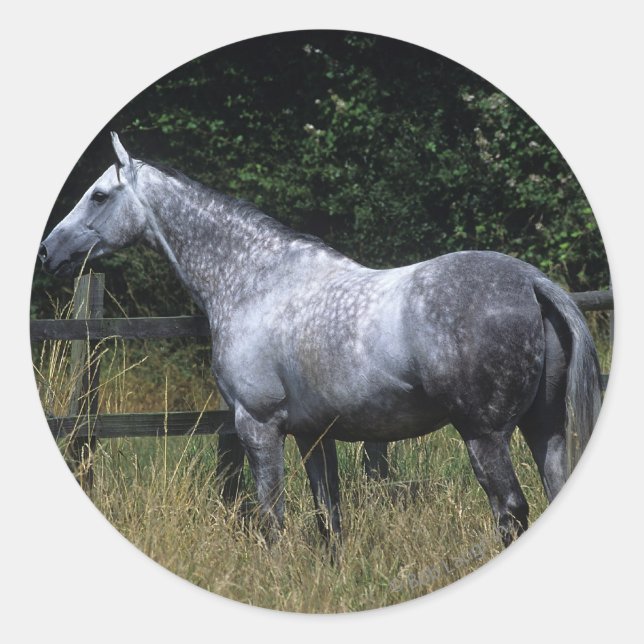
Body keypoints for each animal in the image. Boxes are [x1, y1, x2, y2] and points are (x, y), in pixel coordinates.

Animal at [39, 133, 602, 547]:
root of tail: (531, 281)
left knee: (510, 512)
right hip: (544, 429)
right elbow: (329, 521)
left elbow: (272, 518)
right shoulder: (315, 436)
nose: (48, 253)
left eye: (99, 195)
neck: (256, 283)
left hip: (484, 436)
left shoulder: (259, 426)